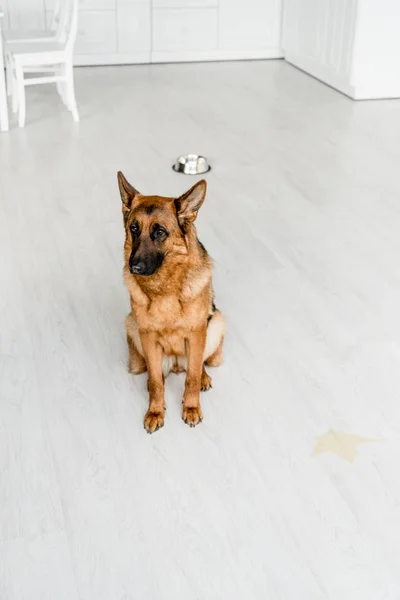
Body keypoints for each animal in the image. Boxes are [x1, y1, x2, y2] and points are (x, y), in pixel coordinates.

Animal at [118, 172, 225, 432]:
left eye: (159, 232)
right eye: (134, 228)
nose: (134, 267)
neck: (164, 288)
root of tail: (176, 364)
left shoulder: (197, 333)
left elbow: (192, 377)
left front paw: (192, 407)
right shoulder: (147, 335)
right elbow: (157, 381)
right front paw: (155, 411)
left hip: (216, 322)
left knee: (198, 365)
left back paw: (203, 377)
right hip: (132, 325)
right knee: (155, 373)